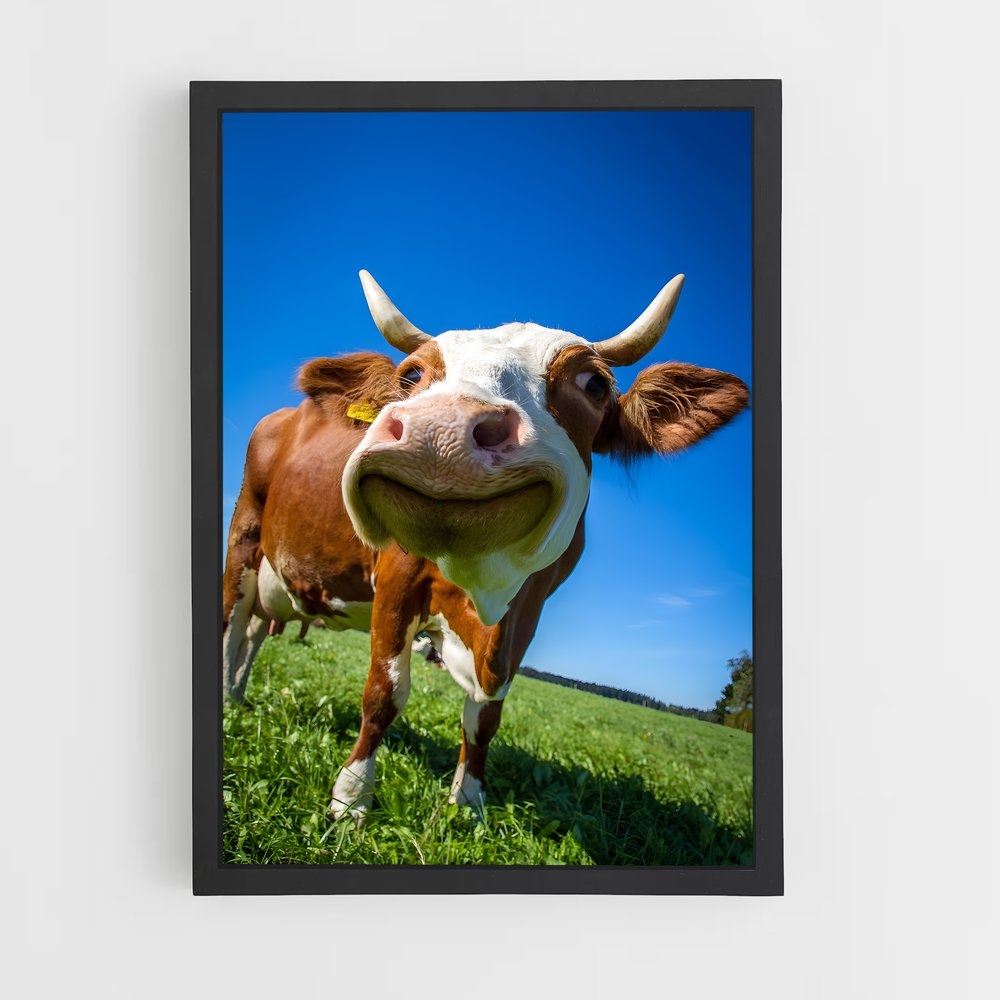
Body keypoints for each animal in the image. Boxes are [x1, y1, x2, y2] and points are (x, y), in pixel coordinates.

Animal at [222, 271, 748, 822]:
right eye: (411, 375)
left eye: (594, 384)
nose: (441, 429)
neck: (484, 589)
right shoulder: (396, 578)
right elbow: (385, 693)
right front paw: (351, 798)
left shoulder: (528, 611)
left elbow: (486, 715)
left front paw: (468, 802)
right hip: (244, 540)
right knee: (233, 625)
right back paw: (228, 702)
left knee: (254, 632)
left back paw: (239, 694)